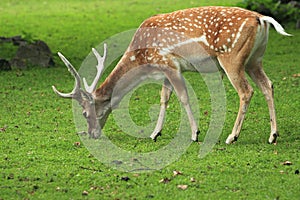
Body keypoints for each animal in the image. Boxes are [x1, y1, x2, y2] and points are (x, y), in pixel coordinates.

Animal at [52, 5, 292, 144]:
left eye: (85, 113)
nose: (92, 133)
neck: (143, 59)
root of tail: (262, 19)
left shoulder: (170, 63)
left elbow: (183, 97)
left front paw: (195, 134)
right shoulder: (164, 70)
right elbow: (164, 98)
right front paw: (155, 133)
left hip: (232, 57)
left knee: (246, 91)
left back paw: (232, 136)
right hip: (254, 60)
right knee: (268, 85)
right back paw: (273, 135)